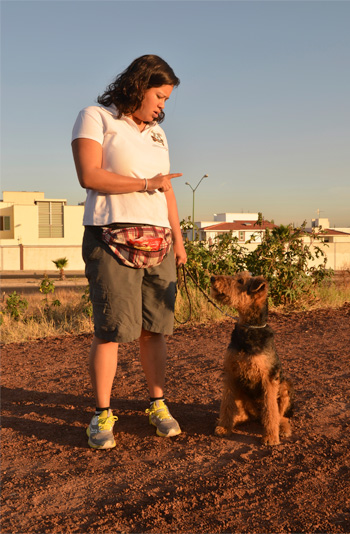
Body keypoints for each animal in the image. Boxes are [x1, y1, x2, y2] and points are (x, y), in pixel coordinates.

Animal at [209, 272, 294, 448]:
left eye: (240, 280)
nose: (213, 278)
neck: (249, 329)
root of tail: (257, 415)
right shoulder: (230, 374)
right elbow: (226, 405)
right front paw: (224, 428)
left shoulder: (268, 379)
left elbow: (271, 411)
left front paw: (270, 437)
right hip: (242, 394)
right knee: (245, 414)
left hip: (285, 386)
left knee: (280, 416)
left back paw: (282, 428)